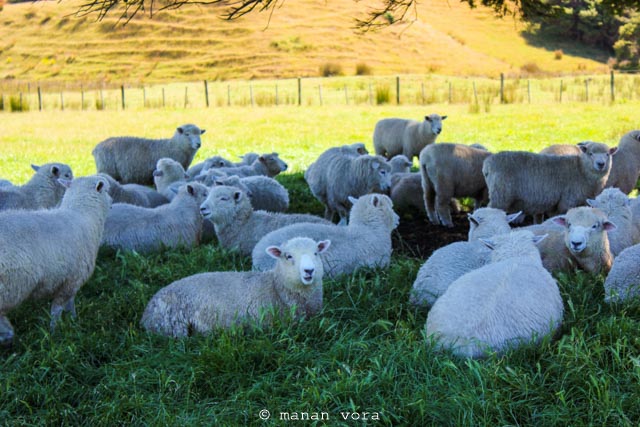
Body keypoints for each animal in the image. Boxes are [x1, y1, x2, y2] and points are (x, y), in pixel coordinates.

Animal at [0, 175, 112, 345]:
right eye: (107, 190)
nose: (112, 202)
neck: (83, 215)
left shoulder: (71, 279)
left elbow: (70, 303)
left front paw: (73, 320)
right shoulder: (71, 279)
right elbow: (57, 308)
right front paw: (55, 331)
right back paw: (8, 335)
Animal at [140, 237, 331, 337]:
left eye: (316, 253)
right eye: (288, 256)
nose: (309, 270)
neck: (277, 287)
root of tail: (146, 314)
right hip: (173, 326)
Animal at [483, 141, 617, 220]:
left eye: (607, 154)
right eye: (590, 153)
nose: (601, 164)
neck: (581, 169)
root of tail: (488, 164)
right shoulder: (567, 201)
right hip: (500, 195)